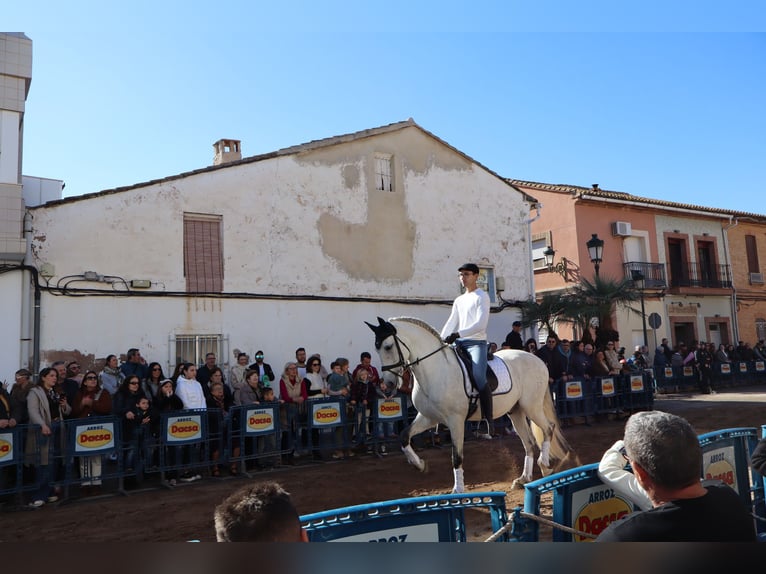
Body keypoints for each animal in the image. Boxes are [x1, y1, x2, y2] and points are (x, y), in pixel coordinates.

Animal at [366, 316, 576, 496]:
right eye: (377, 349)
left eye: (388, 346)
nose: (388, 384)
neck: (435, 370)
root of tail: (538, 359)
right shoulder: (428, 417)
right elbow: (404, 436)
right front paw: (420, 465)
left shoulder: (456, 420)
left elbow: (456, 456)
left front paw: (457, 489)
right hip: (515, 412)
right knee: (529, 443)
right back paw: (524, 478)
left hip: (531, 406)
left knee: (548, 428)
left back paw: (545, 465)